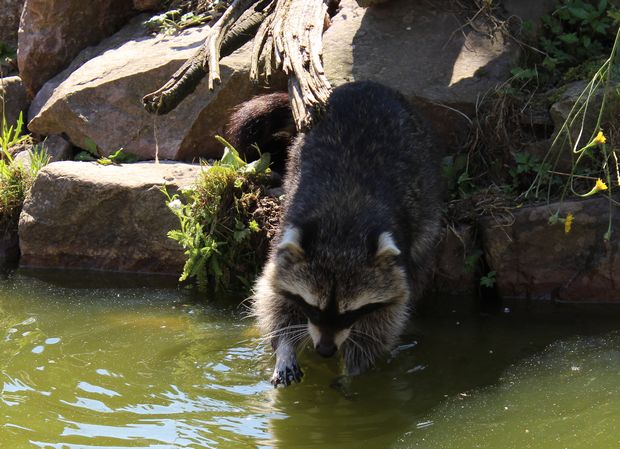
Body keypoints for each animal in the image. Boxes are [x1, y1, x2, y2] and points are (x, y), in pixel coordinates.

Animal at [249, 79, 444, 384]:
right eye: (313, 308)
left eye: (350, 313)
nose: (325, 351)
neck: (341, 233)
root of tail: (366, 84)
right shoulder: (286, 237)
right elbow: (274, 297)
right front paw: (285, 347)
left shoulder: (394, 267)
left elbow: (386, 316)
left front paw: (355, 369)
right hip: (300, 148)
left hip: (427, 180)